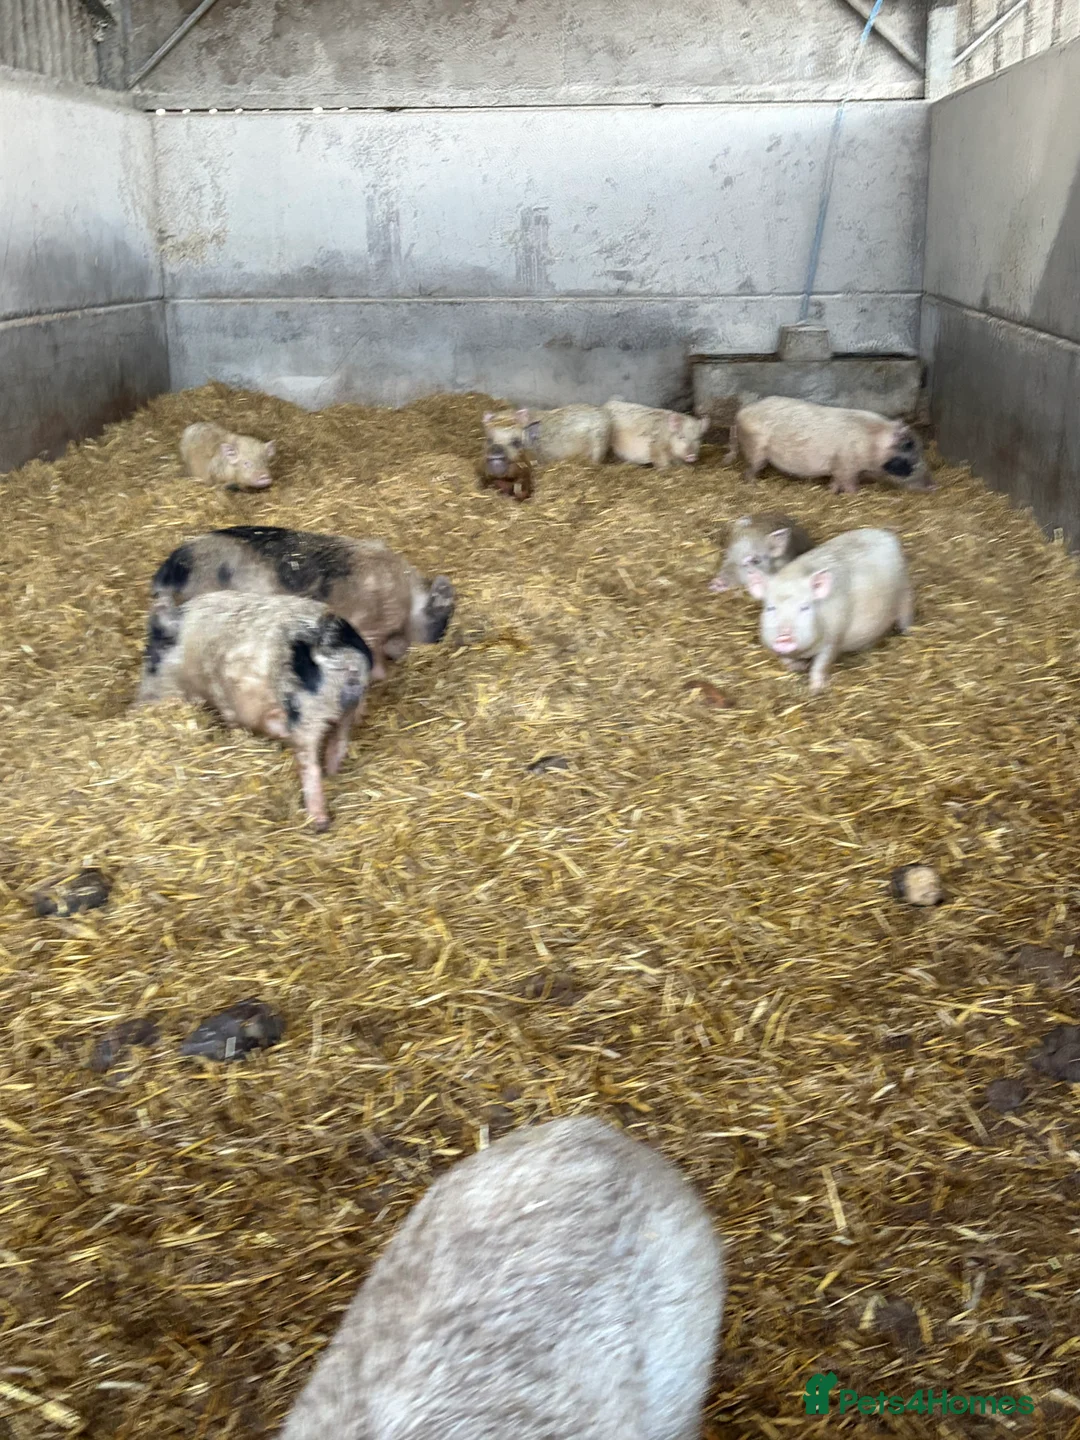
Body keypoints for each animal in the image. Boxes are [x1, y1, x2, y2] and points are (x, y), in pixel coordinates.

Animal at [134, 591, 372, 831]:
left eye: (152, 660)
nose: (139, 703)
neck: (187, 649)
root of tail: (331, 647)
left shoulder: (222, 695)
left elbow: (232, 722)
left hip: (304, 713)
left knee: (310, 767)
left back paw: (319, 822)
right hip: (348, 705)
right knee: (340, 741)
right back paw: (332, 773)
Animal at [725, 396, 932, 495]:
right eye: (913, 461)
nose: (934, 486)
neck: (872, 445)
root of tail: (740, 413)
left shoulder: (839, 468)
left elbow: (835, 483)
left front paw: (831, 491)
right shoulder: (846, 465)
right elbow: (849, 485)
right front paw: (854, 495)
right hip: (756, 449)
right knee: (750, 470)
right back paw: (754, 484)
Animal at [746, 527, 914, 693]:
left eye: (805, 607)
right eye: (770, 608)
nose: (784, 636)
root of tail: (887, 535)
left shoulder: (834, 637)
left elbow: (821, 664)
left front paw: (816, 690)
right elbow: (784, 659)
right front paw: (799, 668)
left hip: (905, 590)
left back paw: (907, 632)